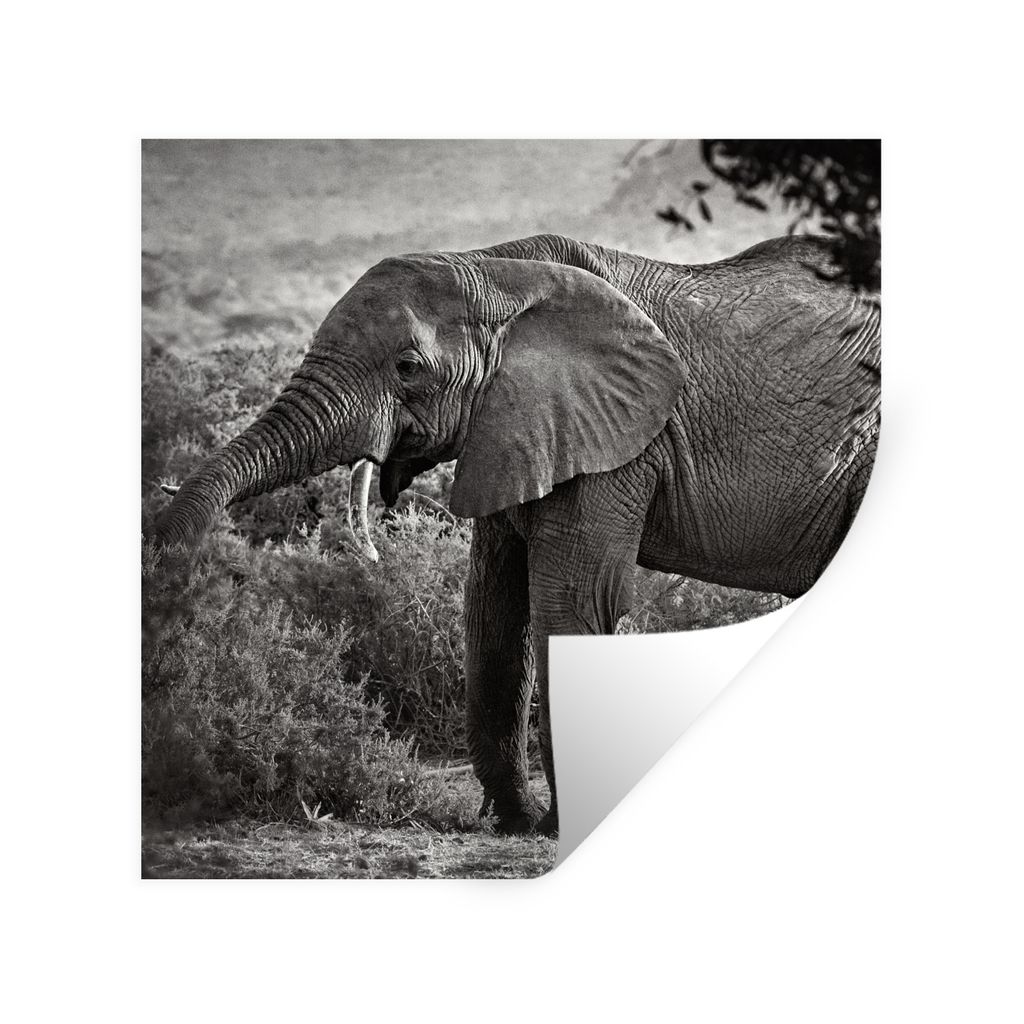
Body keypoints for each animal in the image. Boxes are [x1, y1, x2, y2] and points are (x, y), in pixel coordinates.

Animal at [153, 232, 881, 837]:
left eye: (408, 367)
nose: (177, 579)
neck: (499, 270)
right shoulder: (514, 429)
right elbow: (492, 614)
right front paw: (518, 824)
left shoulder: (613, 441)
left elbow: (568, 607)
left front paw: (558, 825)